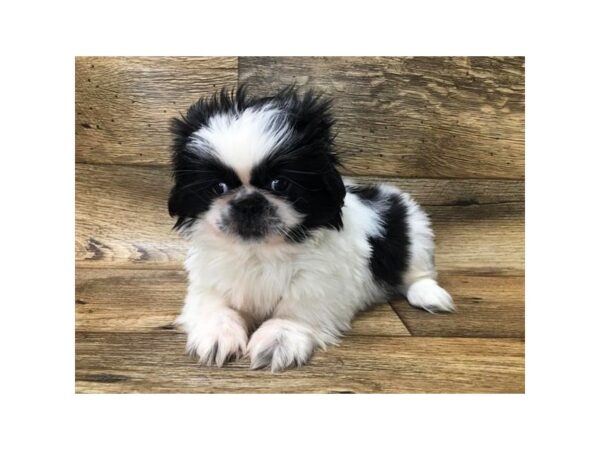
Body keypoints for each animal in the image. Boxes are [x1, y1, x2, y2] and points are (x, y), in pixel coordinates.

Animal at [166, 86, 452, 370]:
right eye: (219, 188)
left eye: (280, 183)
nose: (248, 203)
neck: (259, 252)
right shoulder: (211, 279)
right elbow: (216, 306)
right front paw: (217, 333)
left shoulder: (317, 281)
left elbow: (294, 311)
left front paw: (279, 339)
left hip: (414, 232)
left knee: (417, 273)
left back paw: (429, 295)